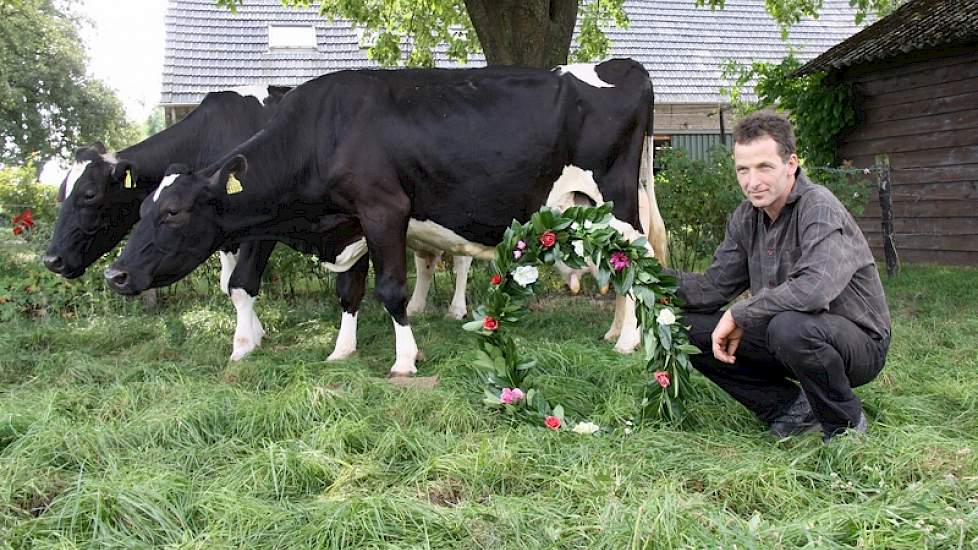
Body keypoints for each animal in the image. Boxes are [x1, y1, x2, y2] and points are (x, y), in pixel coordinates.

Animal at [108, 61, 672, 380]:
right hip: (586, 207)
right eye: (142, 208)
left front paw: (404, 359)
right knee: (618, 268)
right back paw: (616, 334)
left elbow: (391, 290)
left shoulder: (384, 210)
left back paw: (629, 343)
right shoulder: (352, 223)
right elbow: (349, 293)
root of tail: (624, 65)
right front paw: (341, 351)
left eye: (173, 212)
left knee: (636, 263)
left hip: (618, 201)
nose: (115, 274)